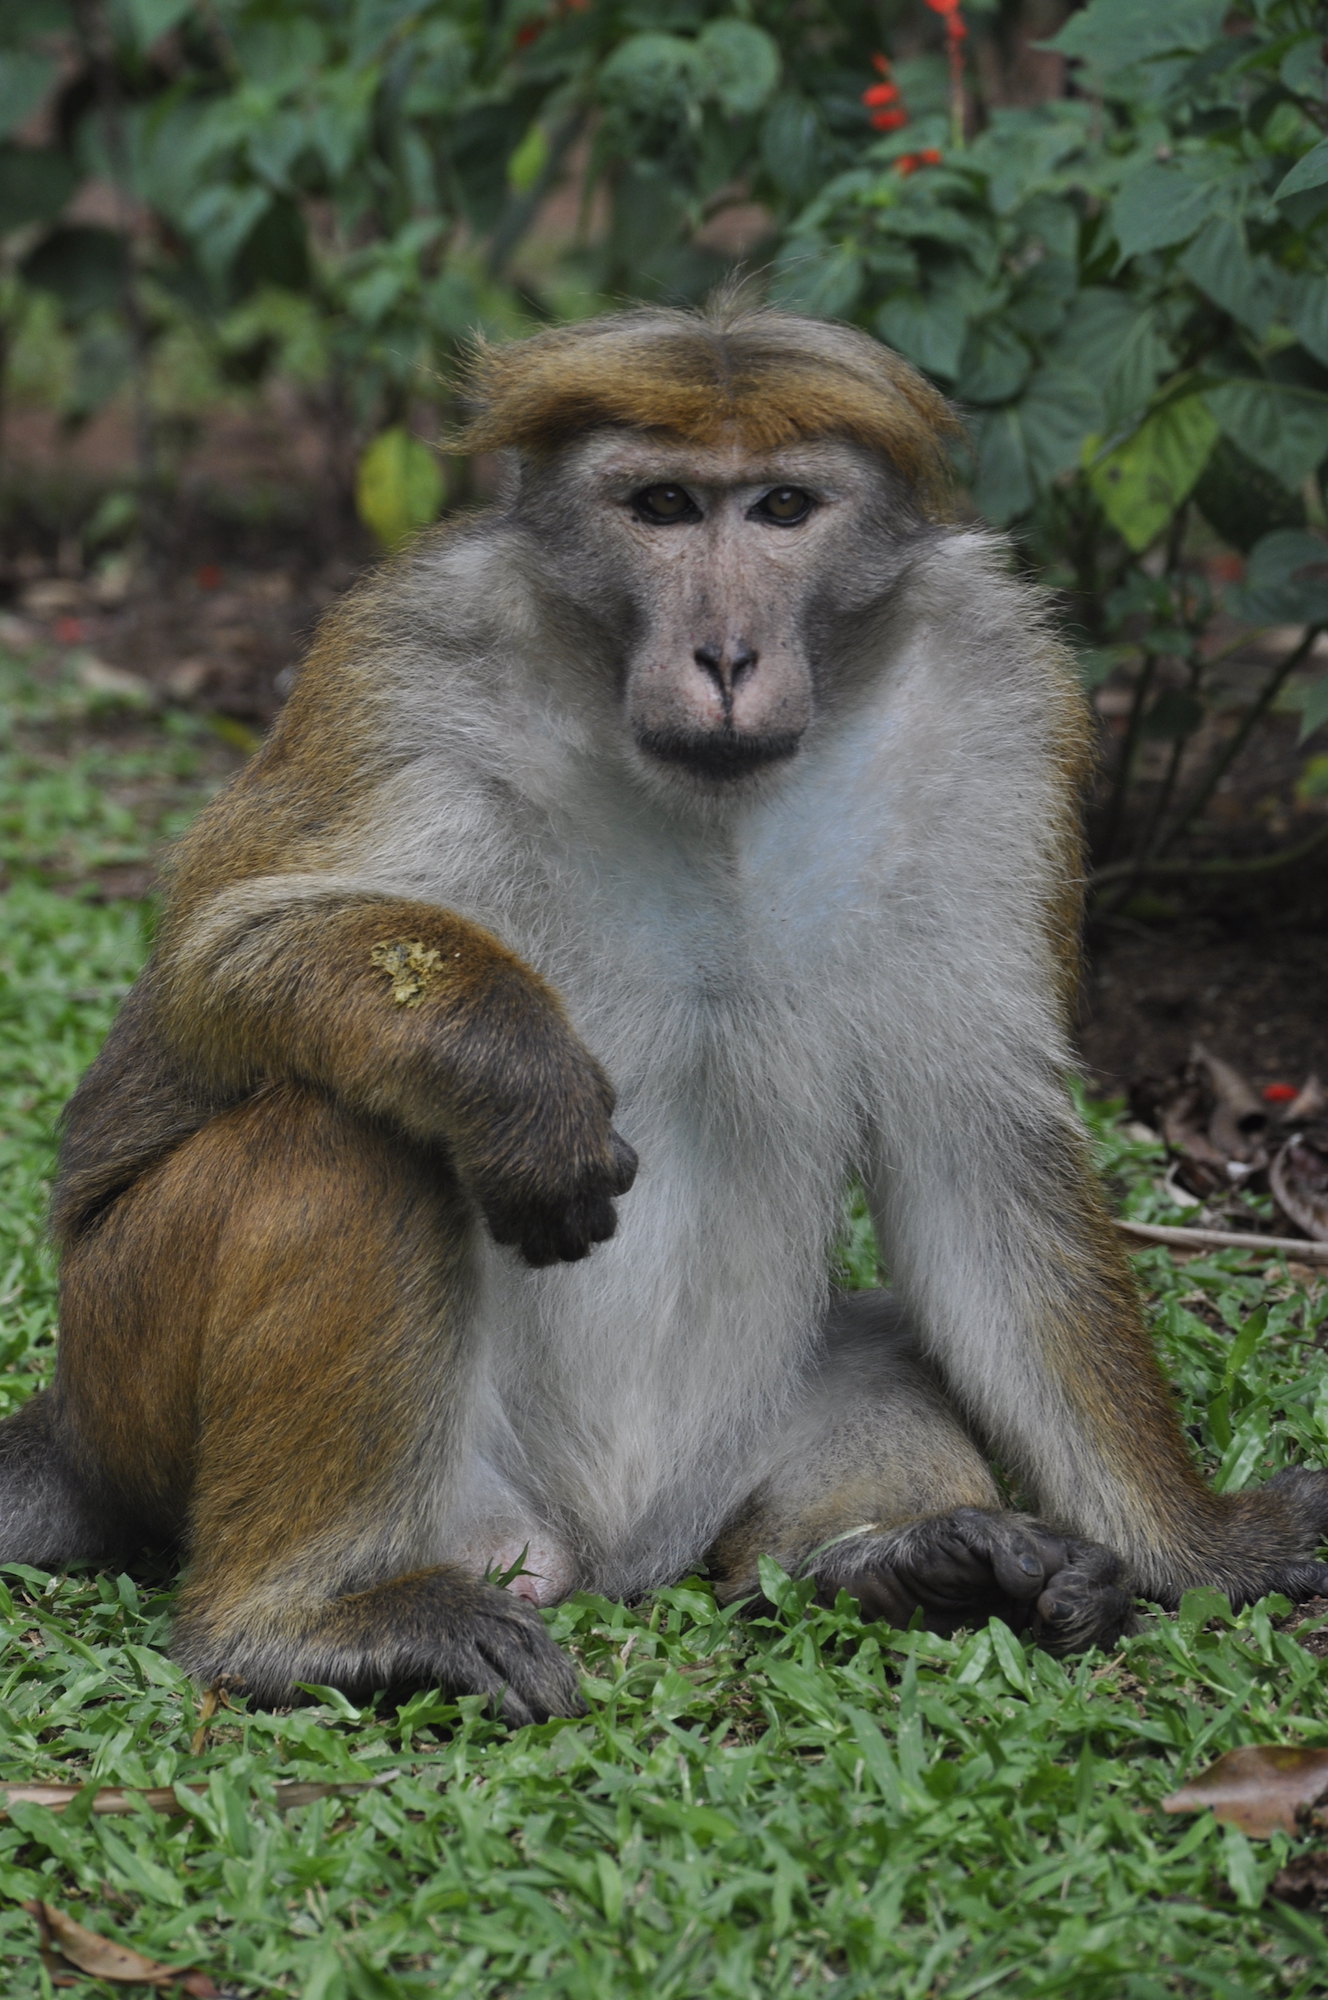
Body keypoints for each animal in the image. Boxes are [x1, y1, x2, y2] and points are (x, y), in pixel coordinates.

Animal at [2, 304, 1328, 1728]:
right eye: (663, 506)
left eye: (783, 506)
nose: (728, 655)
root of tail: (612, 1547)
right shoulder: (409, 661)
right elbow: (219, 959)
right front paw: (516, 1074)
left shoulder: (998, 706)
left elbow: (978, 1153)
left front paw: (1203, 1547)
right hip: (133, 1351)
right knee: (340, 1138)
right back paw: (296, 1624)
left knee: (868, 1354)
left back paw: (898, 1558)